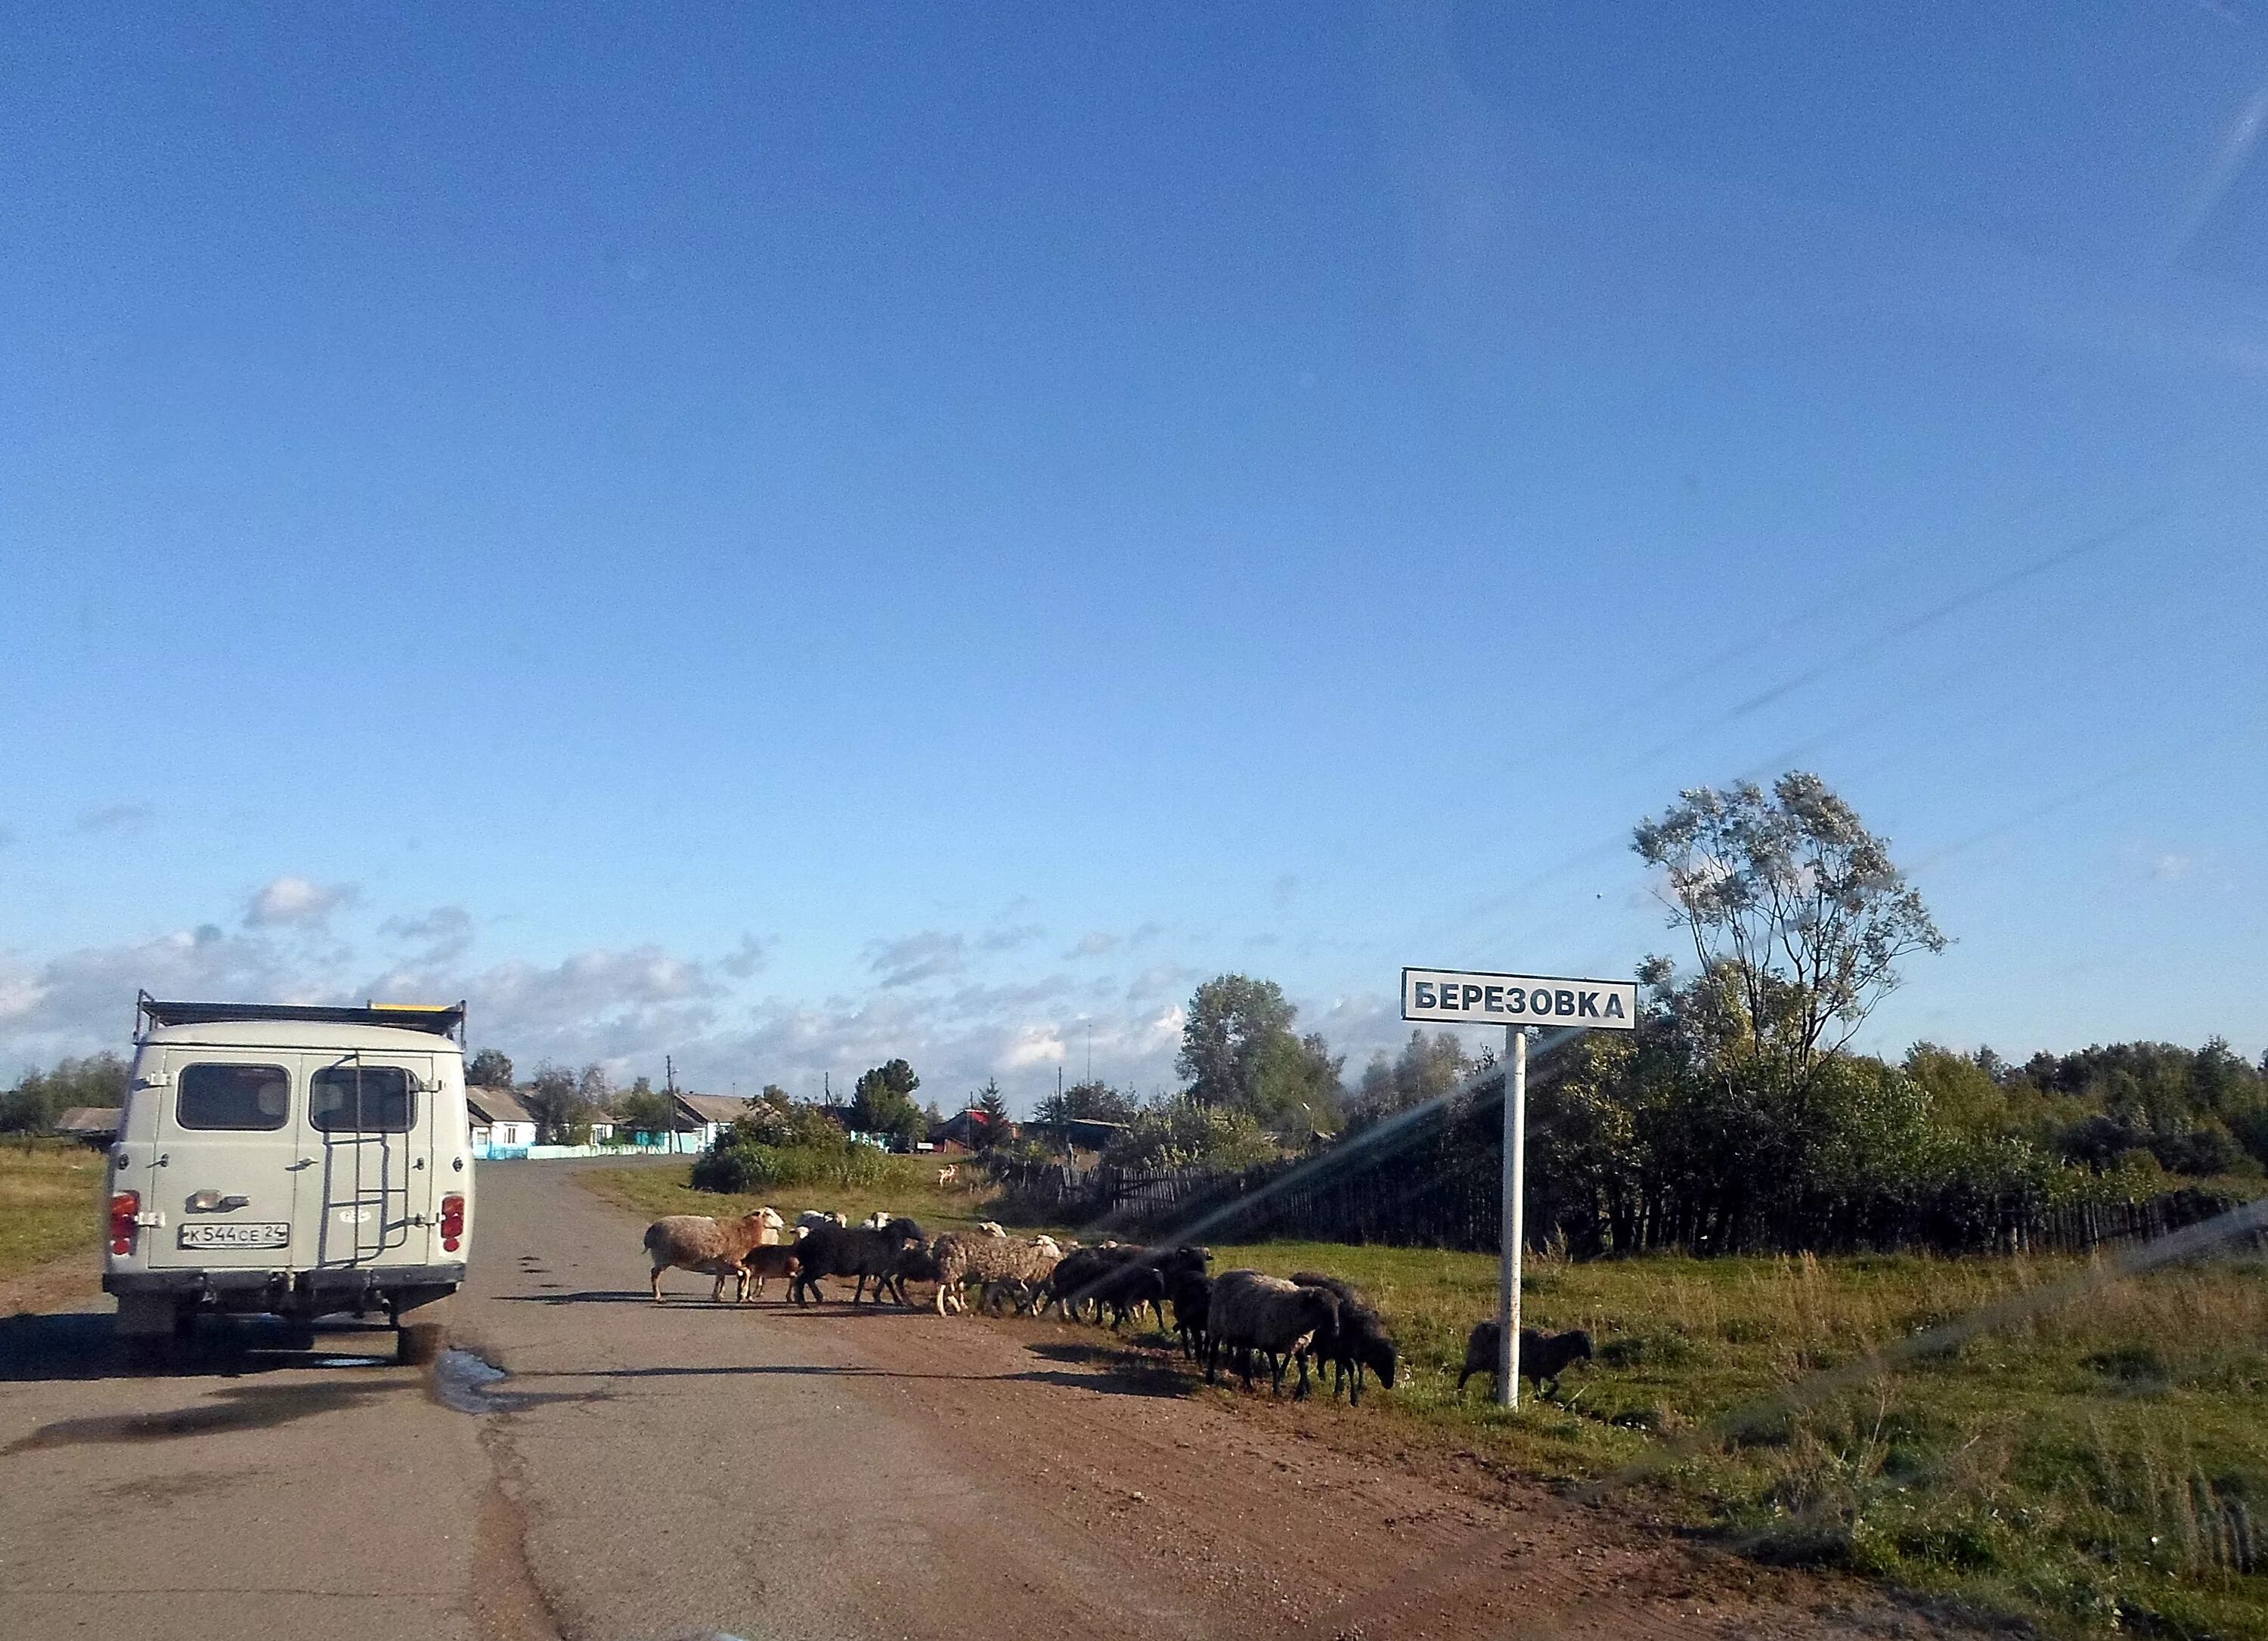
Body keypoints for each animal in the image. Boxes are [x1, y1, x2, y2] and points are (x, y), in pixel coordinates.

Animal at [644, 1215, 776, 1305]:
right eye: (769, 1215)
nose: (780, 1226)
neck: (747, 1231)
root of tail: (651, 1231)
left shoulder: (721, 1263)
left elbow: (720, 1279)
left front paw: (717, 1296)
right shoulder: (731, 1260)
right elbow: (747, 1272)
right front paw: (743, 1294)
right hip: (663, 1256)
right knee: (654, 1274)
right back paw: (658, 1297)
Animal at [794, 1215, 925, 1305]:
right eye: (911, 1225)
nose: (923, 1236)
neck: (887, 1240)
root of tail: (805, 1242)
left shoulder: (875, 1269)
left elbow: (886, 1283)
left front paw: (895, 1300)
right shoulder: (870, 1268)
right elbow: (864, 1284)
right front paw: (858, 1301)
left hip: (812, 1265)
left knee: (806, 1279)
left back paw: (816, 1297)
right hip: (820, 1265)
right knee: (803, 1280)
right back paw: (803, 1302)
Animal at [1216, 1269, 1334, 1396]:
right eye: (1323, 1307)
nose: (1335, 1329)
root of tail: (1229, 1272)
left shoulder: (1298, 1343)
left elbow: (1304, 1363)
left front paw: (1302, 1392)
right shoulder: (1269, 1344)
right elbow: (1276, 1367)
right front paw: (1278, 1390)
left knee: (1243, 1357)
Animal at [1297, 1278, 1397, 1405]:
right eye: (1382, 1360)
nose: (1389, 1384)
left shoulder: (1345, 1353)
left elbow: (1354, 1368)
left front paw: (1352, 1388)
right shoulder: (1341, 1352)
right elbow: (1350, 1369)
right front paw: (1352, 1397)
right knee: (1305, 1361)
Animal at [1452, 1324, 1597, 1396]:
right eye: (1582, 1341)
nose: (1591, 1355)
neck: (1557, 1346)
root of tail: (1478, 1328)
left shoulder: (1539, 1374)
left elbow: (1544, 1388)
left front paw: (1541, 1397)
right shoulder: (1542, 1372)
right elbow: (1556, 1385)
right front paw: (1546, 1396)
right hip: (1478, 1358)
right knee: (1465, 1373)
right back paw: (1459, 1391)